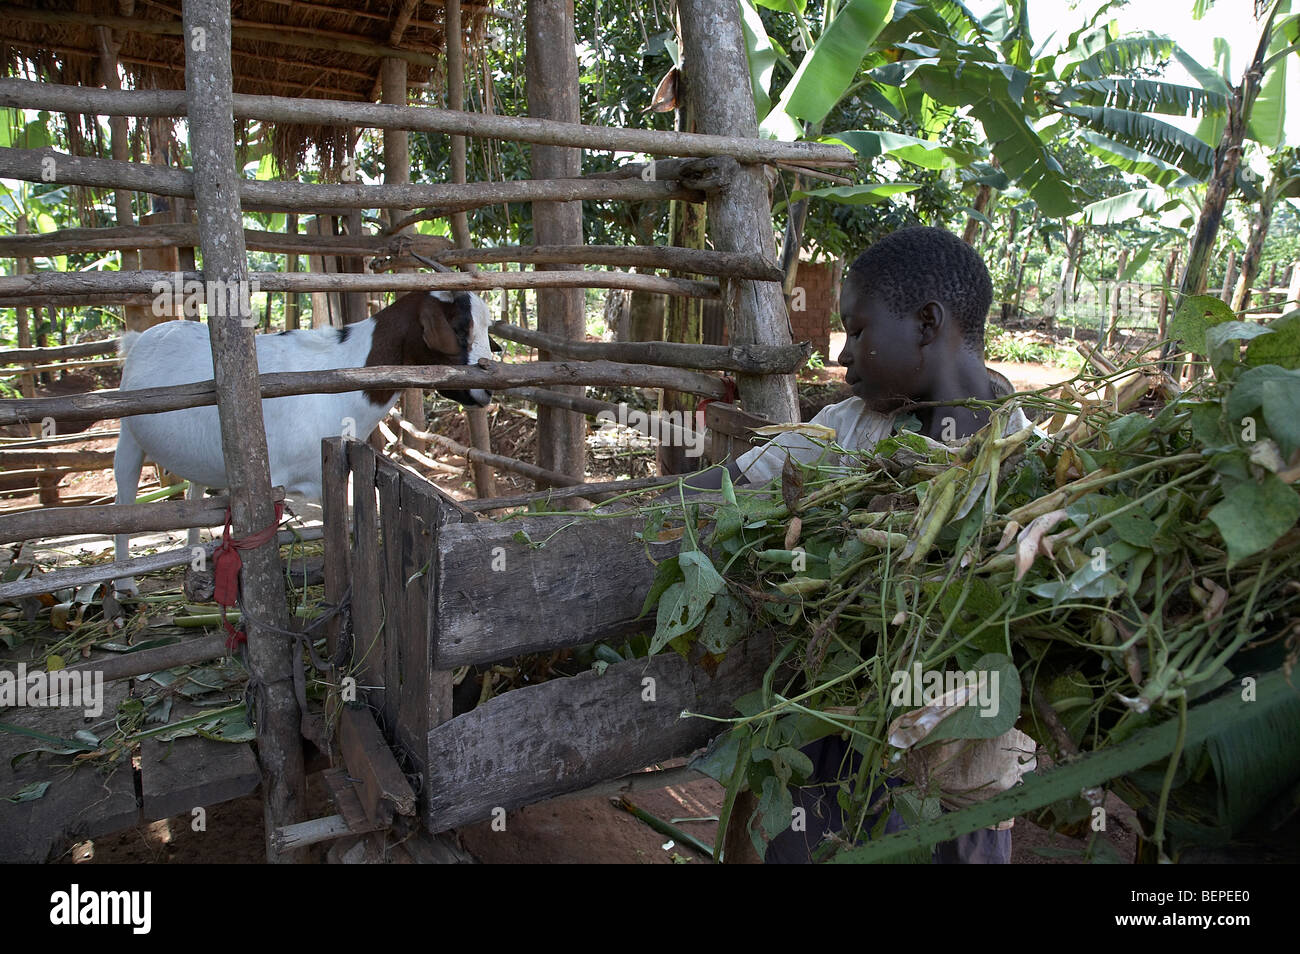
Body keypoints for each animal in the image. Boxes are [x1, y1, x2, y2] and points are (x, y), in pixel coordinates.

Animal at [113, 287, 491, 595]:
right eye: (459, 328)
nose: (487, 391)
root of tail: (140, 338)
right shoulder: (268, 482)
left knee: (194, 491)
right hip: (128, 431)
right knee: (124, 498)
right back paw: (124, 585)